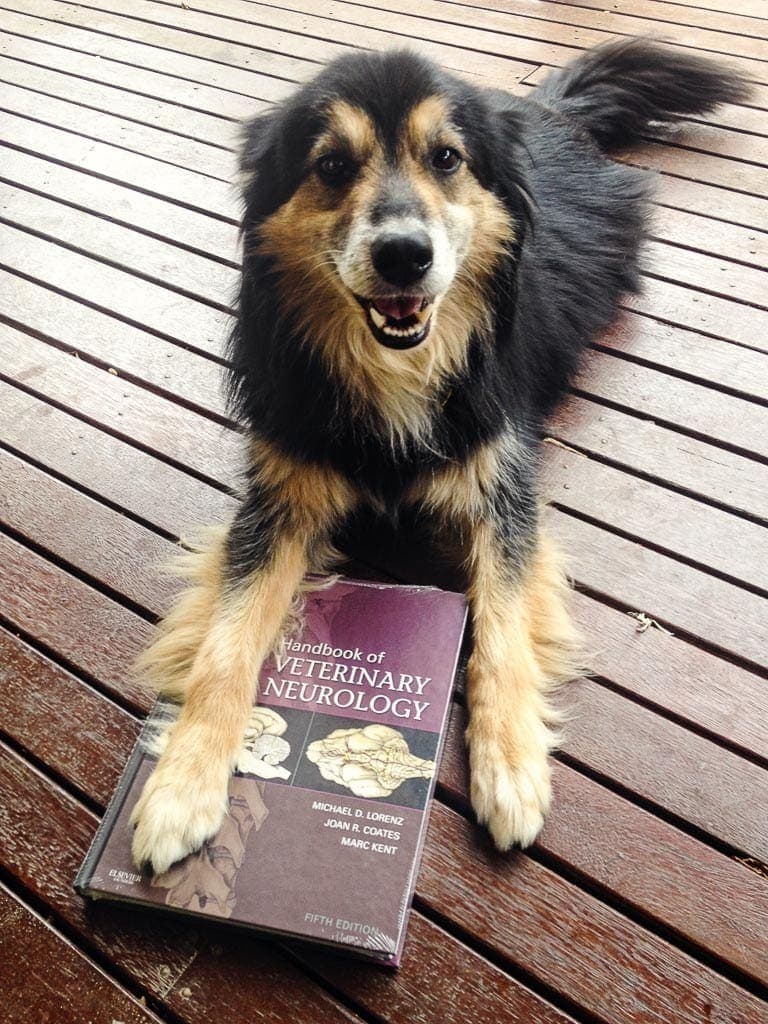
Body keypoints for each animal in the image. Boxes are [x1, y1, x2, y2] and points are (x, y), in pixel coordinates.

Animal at [129, 39, 749, 872]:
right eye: (331, 165)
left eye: (447, 157)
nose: (402, 257)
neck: (397, 366)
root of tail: (549, 109)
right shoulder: (280, 498)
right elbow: (226, 645)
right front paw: (181, 783)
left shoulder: (501, 486)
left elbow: (504, 630)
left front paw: (510, 765)